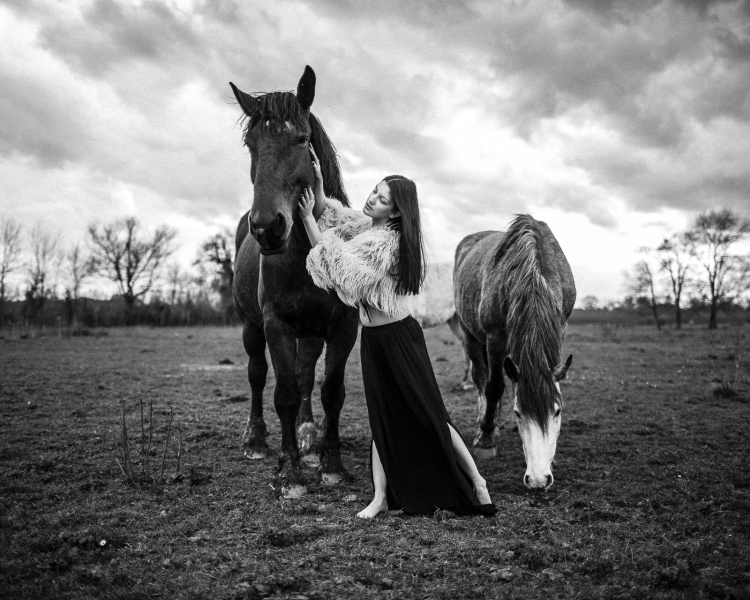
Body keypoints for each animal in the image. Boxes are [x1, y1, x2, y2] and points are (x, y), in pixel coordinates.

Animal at [231, 67, 360, 496]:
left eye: (302, 139)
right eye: (250, 143)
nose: (267, 228)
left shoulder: (343, 326)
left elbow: (331, 392)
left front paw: (331, 464)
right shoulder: (277, 325)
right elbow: (283, 393)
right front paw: (290, 473)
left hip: (313, 332)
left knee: (306, 377)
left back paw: (308, 436)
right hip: (251, 326)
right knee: (257, 375)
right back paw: (256, 440)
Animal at [452, 214, 576, 488]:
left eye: (557, 411)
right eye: (518, 413)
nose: (539, 480)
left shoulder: (560, 328)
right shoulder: (495, 339)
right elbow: (494, 387)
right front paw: (485, 441)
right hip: (470, 335)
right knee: (481, 380)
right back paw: (485, 428)